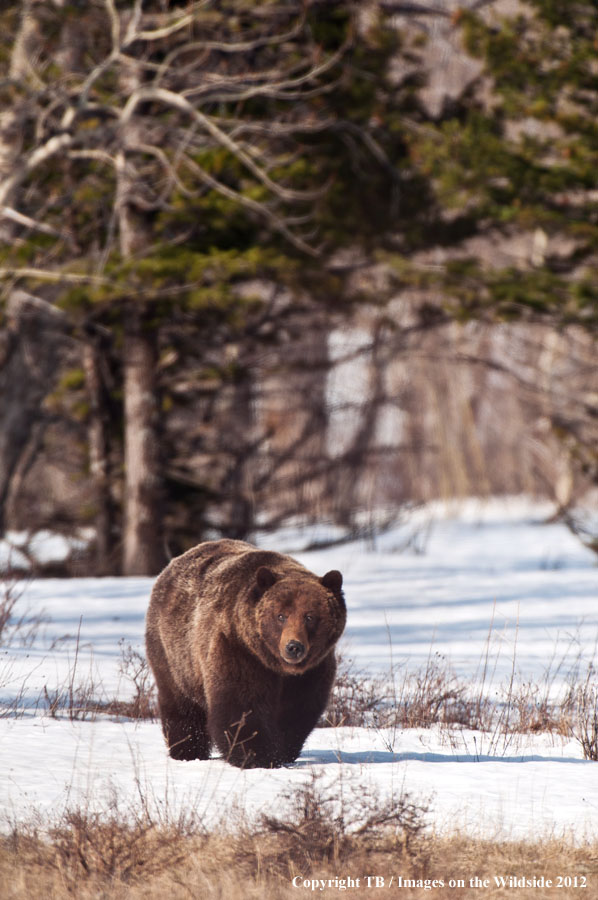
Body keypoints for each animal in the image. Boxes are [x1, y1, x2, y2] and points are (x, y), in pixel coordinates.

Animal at [145, 536, 346, 768]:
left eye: (310, 616)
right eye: (281, 616)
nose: (293, 647)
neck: (276, 666)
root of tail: (172, 564)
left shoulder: (312, 670)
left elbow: (297, 711)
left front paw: (282, 751)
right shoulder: (238, 649)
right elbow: (241, 706)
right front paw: (256, 756)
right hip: (175, 653)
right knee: (181, 703)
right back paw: (187, 750)